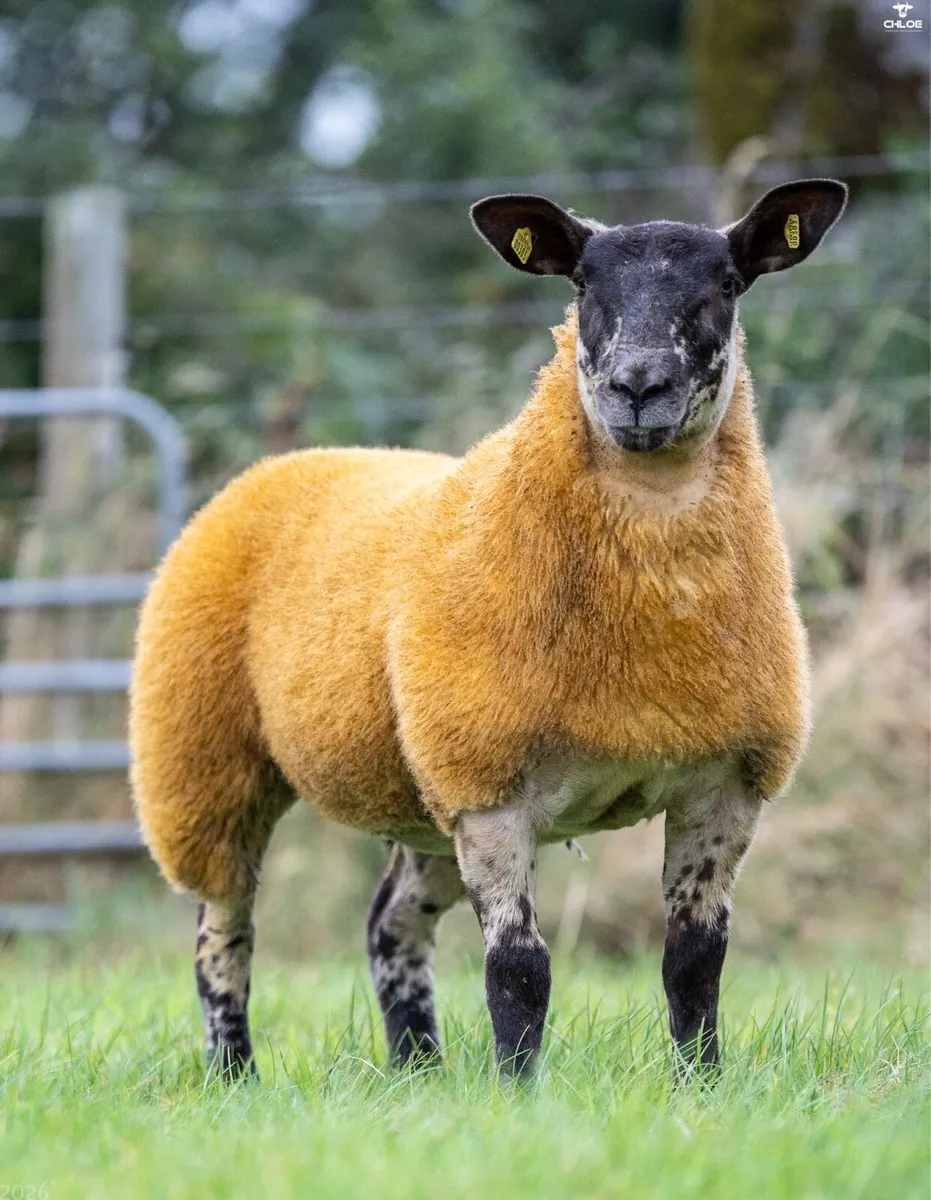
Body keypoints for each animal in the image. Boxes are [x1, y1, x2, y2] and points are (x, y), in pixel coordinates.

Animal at [130, 177, 848, 1080]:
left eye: (725, 283)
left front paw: (702, 1086)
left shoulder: (723, 787)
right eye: (582, 285)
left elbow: (694, 961)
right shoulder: (489, 791)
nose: (637, 386)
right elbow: (518, 970)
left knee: (389, 923)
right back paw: (235, 1076)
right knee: (222, 934)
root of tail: (285, 464)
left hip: (418, 797)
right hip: (204, 763)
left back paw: (417, 1070)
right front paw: (519, 1093)